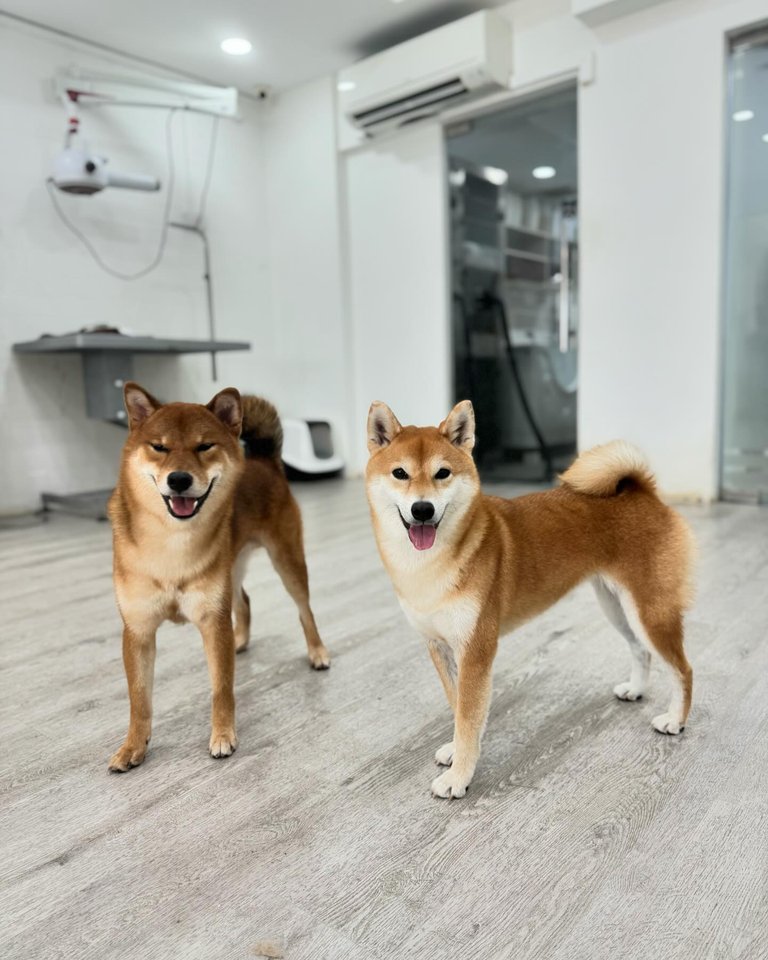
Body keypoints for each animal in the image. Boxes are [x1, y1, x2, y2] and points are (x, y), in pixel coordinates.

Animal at [107, 382, 329, 772]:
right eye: (159, 447)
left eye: (204, 446)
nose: (179, 479)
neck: (172, 542)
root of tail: (265, 461)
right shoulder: (138, 630)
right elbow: (139, 699)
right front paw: (133, 746)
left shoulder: (212, 621)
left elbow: (221, 687)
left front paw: (223, 735)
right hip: (232, 566)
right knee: (244, 602)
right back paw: (240, 640)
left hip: (287, 562)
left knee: (305, 611)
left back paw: (316, 652)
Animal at [365, 400, 694, 799]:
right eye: (400, 473)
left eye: (442, 473)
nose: (423, 509)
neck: (431, 565)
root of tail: (643, 492)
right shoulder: (440, 646)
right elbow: (458, 708)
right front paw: (456, 751)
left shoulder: (476, 650)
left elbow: (468, 717)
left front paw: (458, 778)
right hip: (617, 607)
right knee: (641, 650)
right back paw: (635, 690)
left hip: (650, 611)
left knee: (683, 670)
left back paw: (675, 720)